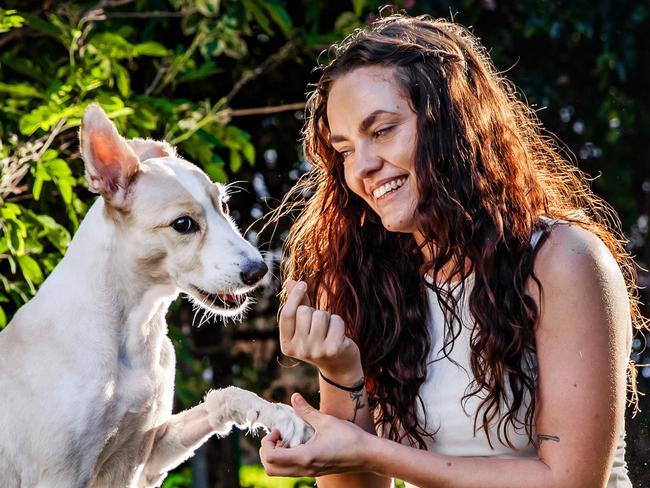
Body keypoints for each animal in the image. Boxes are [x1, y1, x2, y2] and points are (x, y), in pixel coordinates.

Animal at [0, 105, 312, 486]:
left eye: (223, 205)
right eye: (183, 224)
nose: (259, 271)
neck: (133, 329)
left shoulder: (151, 452)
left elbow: (225, 396)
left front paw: (278, 415)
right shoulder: (59, 475)